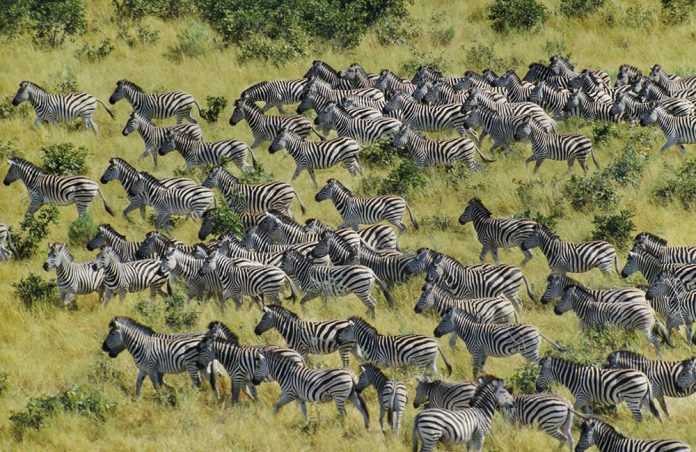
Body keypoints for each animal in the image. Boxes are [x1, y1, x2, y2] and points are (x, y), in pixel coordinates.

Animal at [433, 308, 562, 375]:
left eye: (443, 320)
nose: (434, 333)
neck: (470, 331)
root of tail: (536, 330)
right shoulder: (483, 354)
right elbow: (481, 369)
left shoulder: (476, 352)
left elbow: (475, 370)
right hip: (530, 351)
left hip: (529, 350)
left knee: (540, 363)